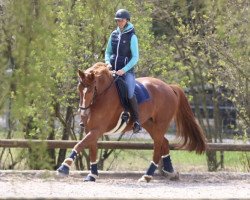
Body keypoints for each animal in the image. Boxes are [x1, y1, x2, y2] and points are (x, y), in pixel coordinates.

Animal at [57, 61, 207, 182]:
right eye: (79, 89)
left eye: (90, 90)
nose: (84, 112)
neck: (101, 96)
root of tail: (169, 87)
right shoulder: (91, 130)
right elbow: (92, 150)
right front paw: (92, 175)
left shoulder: (97, 130)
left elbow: (80, 144)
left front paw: (64, 167)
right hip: (149, 124)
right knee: (164, 142)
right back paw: (170, 172)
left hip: (161, 124)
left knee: (158, 146)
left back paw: (147, 176)